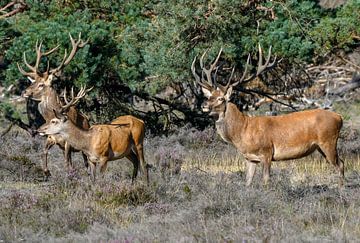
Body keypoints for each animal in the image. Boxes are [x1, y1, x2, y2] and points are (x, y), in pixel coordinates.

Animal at [17, 32, 91, 178]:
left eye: (41, 84)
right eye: (33, 82)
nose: (24, 92)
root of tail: (87, 120)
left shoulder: (68, 142)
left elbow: (67, 162)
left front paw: (69, 175)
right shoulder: (51, 139)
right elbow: (44, 152)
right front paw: (47, 171)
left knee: (85, 162)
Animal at [193, 45, 344, 186]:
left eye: (221, 99)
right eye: (209, 96)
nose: (204, 106)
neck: (242, 131)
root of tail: (339, 117)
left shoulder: (267, 151)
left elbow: (266, 180)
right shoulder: (250, 158)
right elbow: (247, 181)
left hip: (328, 141)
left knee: (340, 164)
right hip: (320, 147)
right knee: (340, 163)